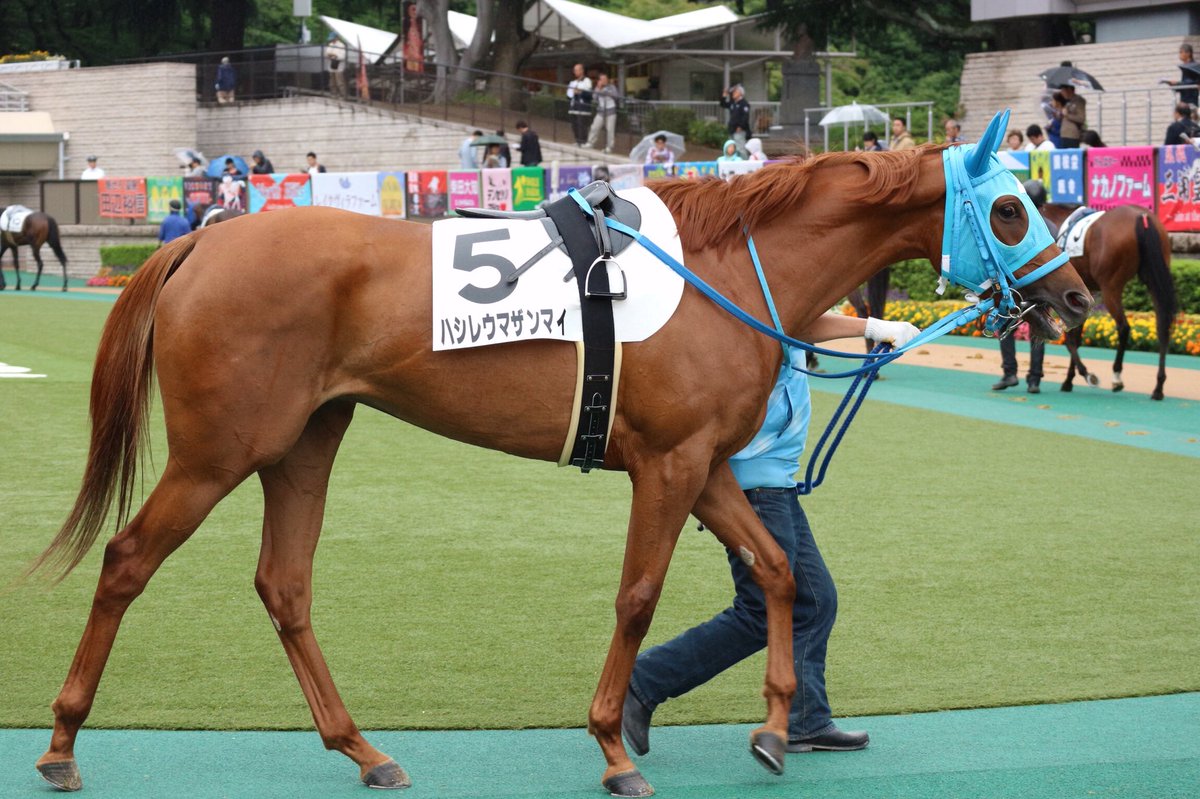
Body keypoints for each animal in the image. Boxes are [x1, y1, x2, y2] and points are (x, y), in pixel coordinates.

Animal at [28, 135, 1094, 791]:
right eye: (1009, 209)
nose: (1079, 296)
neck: (721, 270)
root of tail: (201, 244)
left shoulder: (709, 466)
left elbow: (779, 570)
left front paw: (773, 728)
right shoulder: (667, 466)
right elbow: (639, 596)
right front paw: (616, 747)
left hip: (304, 441)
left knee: (283, 584)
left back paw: (364, 749)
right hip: (221, 449)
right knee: (126, 561)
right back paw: (63, 741)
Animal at [1041, 202, 1180, 395]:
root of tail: (1142, 217)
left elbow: (1070, 339)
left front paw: (1083, 375)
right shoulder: (1083, 296)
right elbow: (1075, 338)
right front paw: (1070, 379)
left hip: (1111, 288)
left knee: (1124, 327)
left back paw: (1117, 376)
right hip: (1154, 278)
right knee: (1162, 326)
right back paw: (1158, 386)